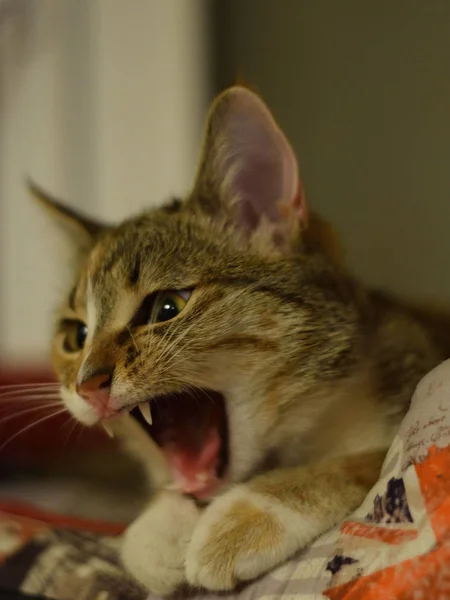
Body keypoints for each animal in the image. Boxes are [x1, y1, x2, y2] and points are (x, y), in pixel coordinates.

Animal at [29, 85, 450, 596]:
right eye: (76, 336)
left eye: (166, 307)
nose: (88, 383)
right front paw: (157, 528)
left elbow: (368, 460)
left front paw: (250, 514)